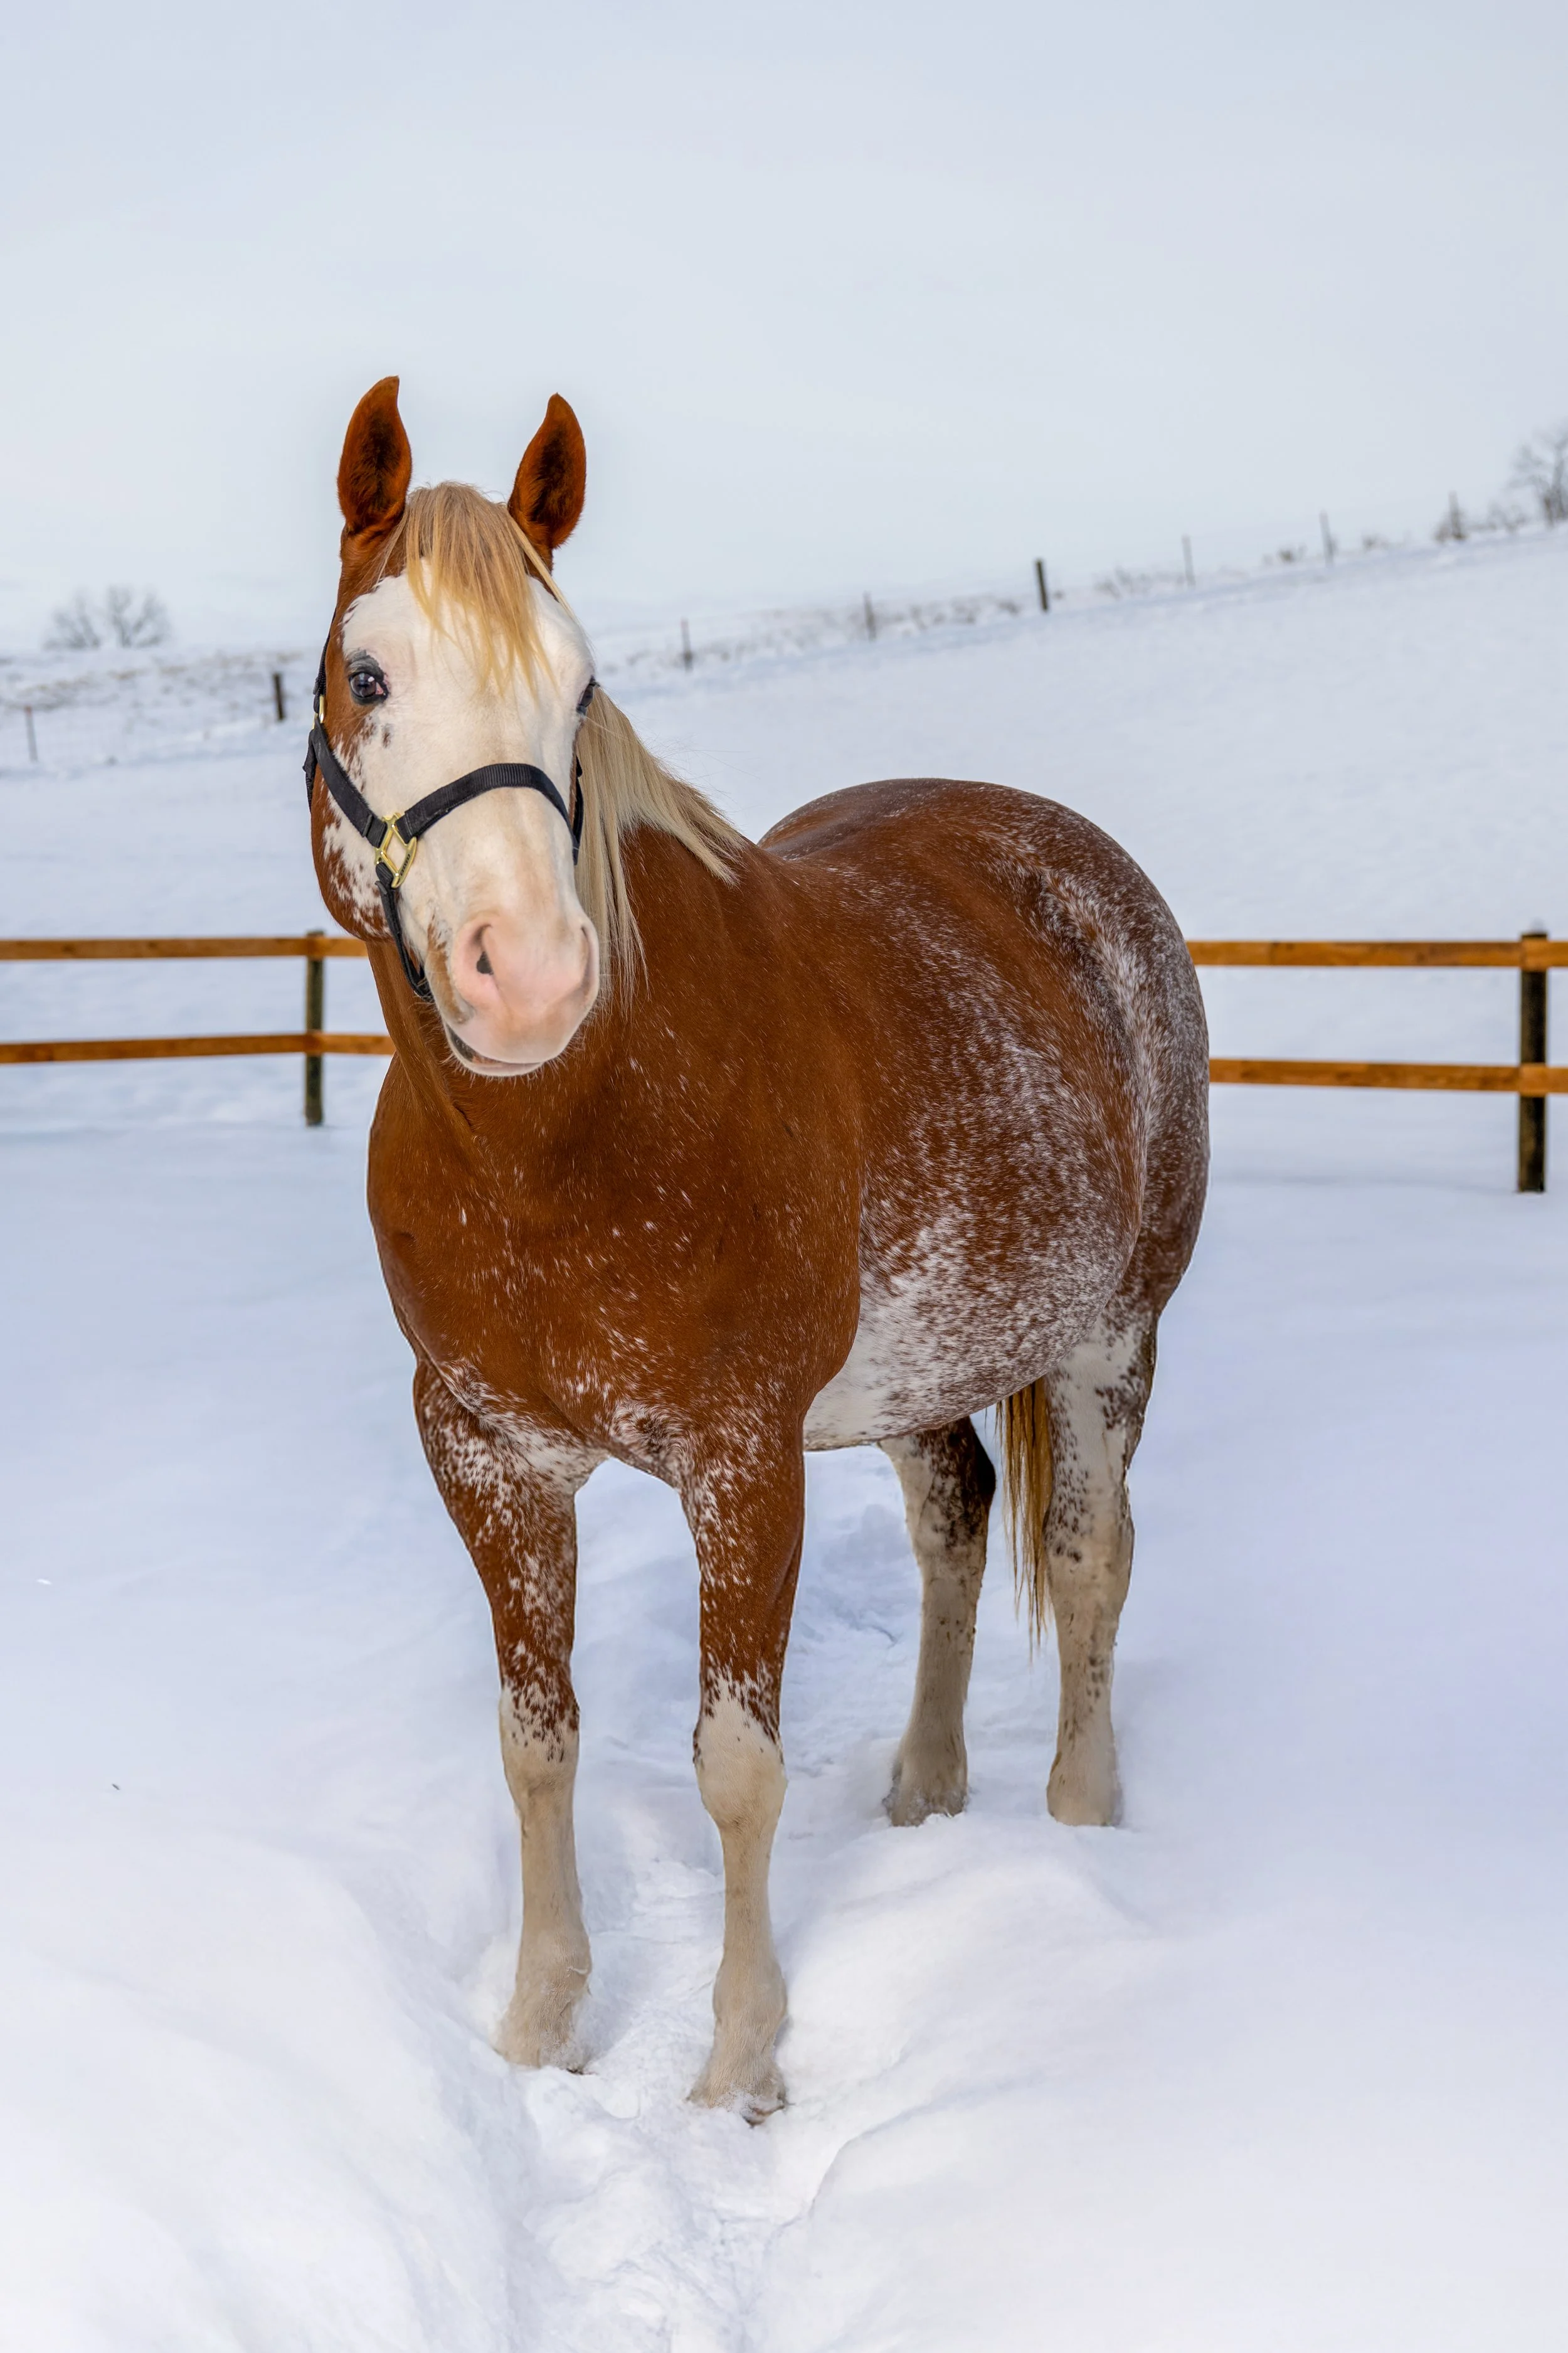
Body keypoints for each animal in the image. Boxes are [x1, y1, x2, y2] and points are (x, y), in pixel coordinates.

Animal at [308, 377, 1209, 2118]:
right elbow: (536, 1739)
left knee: (1086, 1556)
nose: (531, 975)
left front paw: (736, 2063)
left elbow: (735, 1768)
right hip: (926, 1365)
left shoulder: (741, 1458)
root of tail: (1076, 863)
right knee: (953, 1522)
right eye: (366, 675)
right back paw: (924, 1790)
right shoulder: (483, 1450)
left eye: (580, 687)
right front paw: (540, 2027)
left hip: (1108, 1336)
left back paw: (1080, 1814)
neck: (564, 1143)